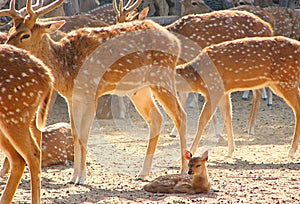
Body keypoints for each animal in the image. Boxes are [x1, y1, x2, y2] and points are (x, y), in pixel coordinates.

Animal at [0, 0, 188, 185]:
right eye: (10, 31)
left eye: (25, 35)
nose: (7, 48)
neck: (66, 68)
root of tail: (176, 42)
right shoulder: (72, 98)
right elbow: (75, 134)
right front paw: (72, 177)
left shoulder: (91, 92)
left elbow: (84, 134)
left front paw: (82, 178)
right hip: (138, 89)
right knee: (157, 118)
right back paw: (142, 173)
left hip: (162, 76)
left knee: (180, 115)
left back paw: (183, 170)